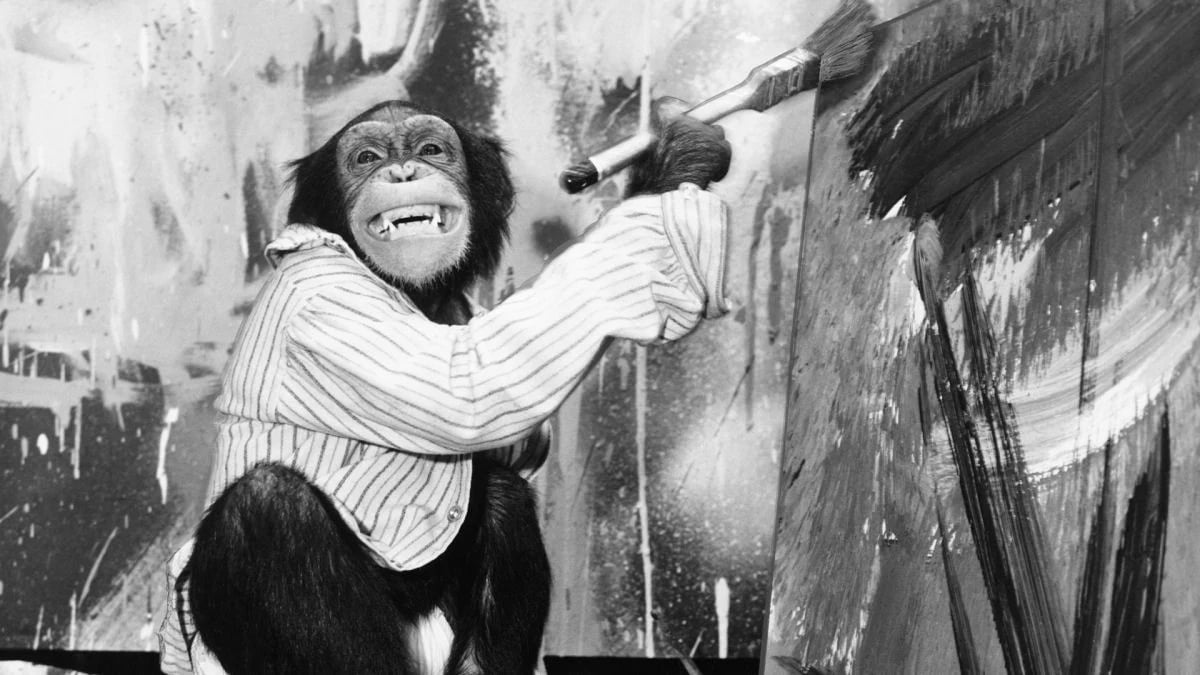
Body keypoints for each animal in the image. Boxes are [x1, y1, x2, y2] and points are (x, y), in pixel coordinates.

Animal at [157, 99, 732, 675]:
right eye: (366, 158)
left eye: (431, 149)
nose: (403, 171)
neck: (411, 291)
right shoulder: (324, 306)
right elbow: (469, 386)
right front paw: (676, 157)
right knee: (268, 507)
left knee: (502, 494)